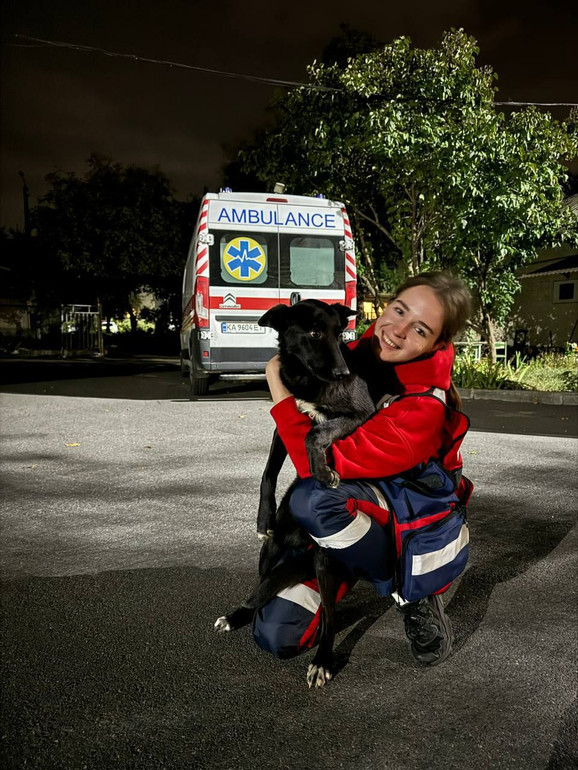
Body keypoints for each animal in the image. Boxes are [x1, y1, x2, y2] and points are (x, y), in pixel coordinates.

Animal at [213, 298, 374, 684]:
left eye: (339, 333)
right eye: (314, 332)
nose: (344, 373)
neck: (306, 377)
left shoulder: (361, 412)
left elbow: (315, 432)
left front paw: (321, 470)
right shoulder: (282, 419)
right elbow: (269, 469)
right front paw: (262, 515)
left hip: (326, 560)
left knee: (329, 615)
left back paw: (322, 660)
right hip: (272, 550)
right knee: (262, 586)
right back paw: (238, 616)